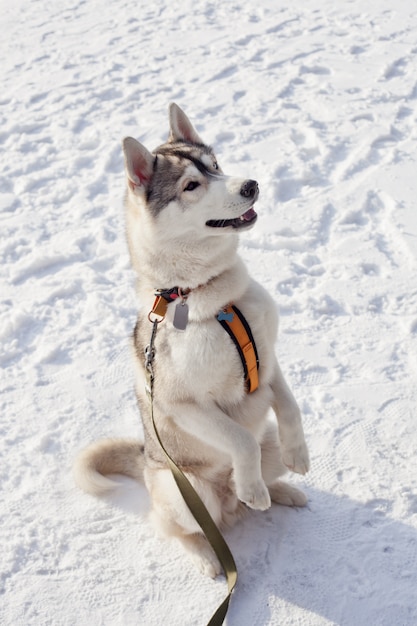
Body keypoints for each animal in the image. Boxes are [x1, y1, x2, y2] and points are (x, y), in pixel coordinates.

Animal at [74, 102, 308, 576]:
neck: (213, 298)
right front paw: (252, 487)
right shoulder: (183, 404)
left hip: (267, 442)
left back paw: (283, 492)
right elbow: (238, 440)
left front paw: (301, 455)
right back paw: (211, 548)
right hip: (184, 490)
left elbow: (290, 408)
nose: (251, 184)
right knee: (178, 526)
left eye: (215, 164)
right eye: (191, 185)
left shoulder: (268, 359)